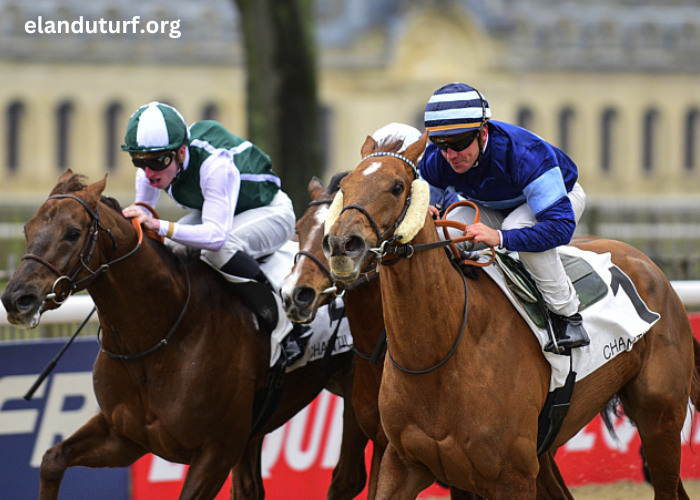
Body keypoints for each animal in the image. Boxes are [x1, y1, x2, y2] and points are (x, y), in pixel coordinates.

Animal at [1, 170, 372, 498]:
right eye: (27, 228)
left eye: (73, 232)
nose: (16, 299)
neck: (159, 337)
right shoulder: (125, 437)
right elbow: (52, 461)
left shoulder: (216, 451)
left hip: (356, 393)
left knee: (348, 479)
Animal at [324, 135, 700, 498]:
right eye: (345, 185)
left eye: (397, 186)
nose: (342, 244)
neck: (440, 355)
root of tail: (648, 264)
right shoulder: (402, 463)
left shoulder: (511, 476)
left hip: (660, 418)